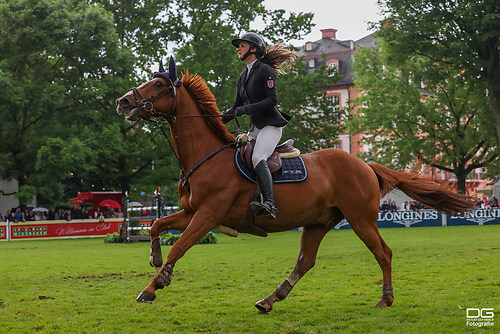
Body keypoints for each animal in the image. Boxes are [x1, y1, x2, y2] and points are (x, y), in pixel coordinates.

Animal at [116, 56, 472, 310]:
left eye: (157, 83)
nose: (123, 102)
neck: (207, 156)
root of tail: (364, 165)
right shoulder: (192, 212)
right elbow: (157, 225)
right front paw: (156, 260)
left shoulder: (208, 215)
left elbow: (180, 245)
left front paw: (153, 286)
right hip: (318, 222)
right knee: (306, 261)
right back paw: (270, 299)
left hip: (360, 219)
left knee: (383, 253)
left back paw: (385, 298)